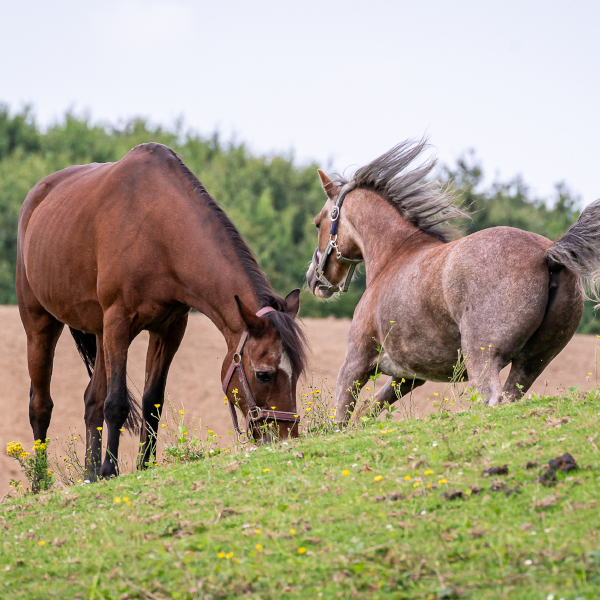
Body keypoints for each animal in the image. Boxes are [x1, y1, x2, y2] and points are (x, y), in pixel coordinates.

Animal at [16, 143, 308, 480]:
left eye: (297, 372)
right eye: (263, 374)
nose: (285, 438)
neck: (159, 231)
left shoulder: (168, 329)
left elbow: (151, 402)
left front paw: (143, 465)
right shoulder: (119, 324)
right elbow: (116, 403)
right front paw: (110, 470)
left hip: (100, 334)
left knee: (92, 401)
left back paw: (89, 476)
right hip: (41, 326)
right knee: (41, 406)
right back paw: (41, 482)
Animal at [304, 140, 600, 422]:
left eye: (318, 222)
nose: (313, 279)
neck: (394, 256)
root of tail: (548, 255)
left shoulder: (355, 362)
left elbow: (341, 420)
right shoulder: (407, 376)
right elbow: (367, 412)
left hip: (482, 358)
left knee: (493, 399)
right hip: (532, 363)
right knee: (511, 396)